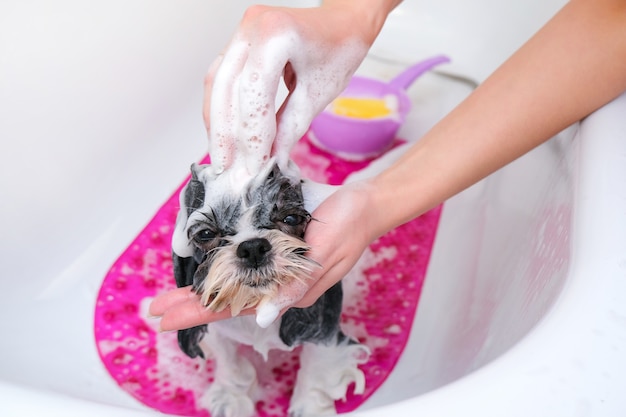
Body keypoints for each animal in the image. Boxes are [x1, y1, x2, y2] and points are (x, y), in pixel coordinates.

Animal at [168, 161, 368, 416]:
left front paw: (309, 405)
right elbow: (228, 359)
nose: (252, 247)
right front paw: (230, 398)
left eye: (291, 218)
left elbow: (318, 364)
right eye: (205, 233)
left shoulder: (322, 324)